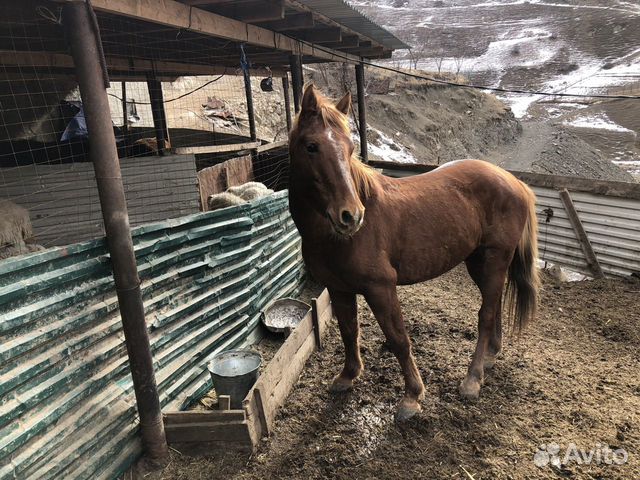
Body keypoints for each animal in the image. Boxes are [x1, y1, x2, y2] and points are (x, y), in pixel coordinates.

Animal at [288, 86, 536, 420]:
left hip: (495, 259)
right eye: (311, 146)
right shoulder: (338, 288)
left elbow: (398, 339)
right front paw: (348, 376)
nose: (351, 216)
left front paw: (412, 396)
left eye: (350, 149)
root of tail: (514, 181)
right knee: (493, 304)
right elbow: (348, 331)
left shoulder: (381, 288)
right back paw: (489, 358)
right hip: (479, 263)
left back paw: (472, 379)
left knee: (485, 315)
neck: (335, 238)